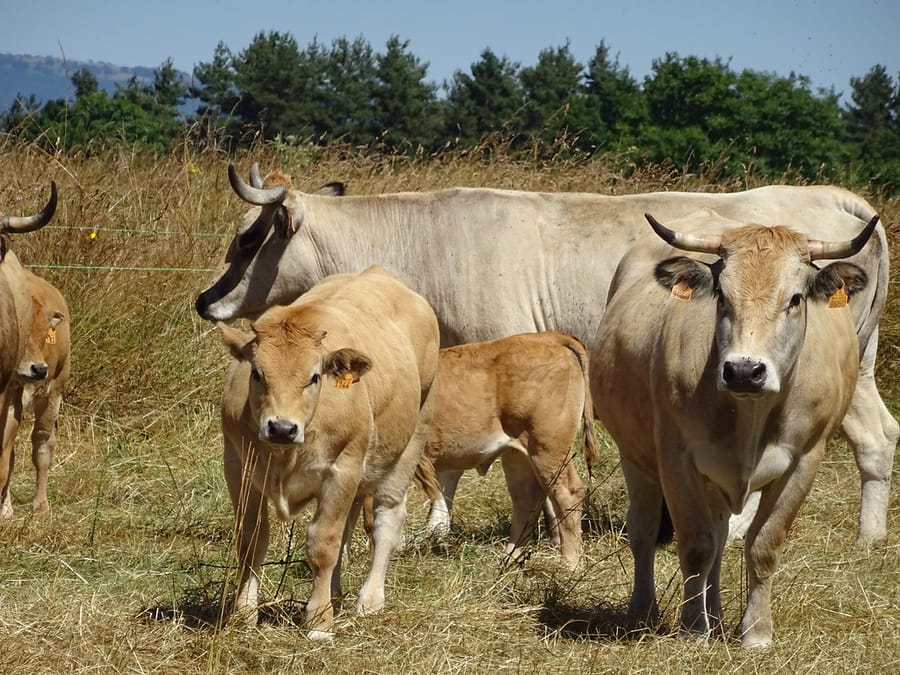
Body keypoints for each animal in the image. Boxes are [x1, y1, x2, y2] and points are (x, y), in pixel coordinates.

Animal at [217, 265, 439, 640]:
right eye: (258, 374)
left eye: (314, 376)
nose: (281, 427)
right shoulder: (237, 465)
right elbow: (251, 538)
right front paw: (243, 613)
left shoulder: (342, 469)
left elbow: (323, 542)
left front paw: (319, 621)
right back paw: (335, 593)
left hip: (409, 440)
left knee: (386, 519)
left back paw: (369, 599)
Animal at [417, 331, 597, 570]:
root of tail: (550, 337)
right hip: (519, 455)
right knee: (526, 500)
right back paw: (510, 559)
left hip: (548, 446)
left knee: (567, 493)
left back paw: (569, 563)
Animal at [589, 208, 876, 648]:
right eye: (723, 296)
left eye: (795, 299)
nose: (744, 370)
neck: (749, 417)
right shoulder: (676, 459)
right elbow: (695, 547)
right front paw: (692, 627)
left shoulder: (804, 461)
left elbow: (763, 545)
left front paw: (756, 632)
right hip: (635, 459)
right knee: (645, 531)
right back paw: (644, 611)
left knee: (721, 537)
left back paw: (717, 615)